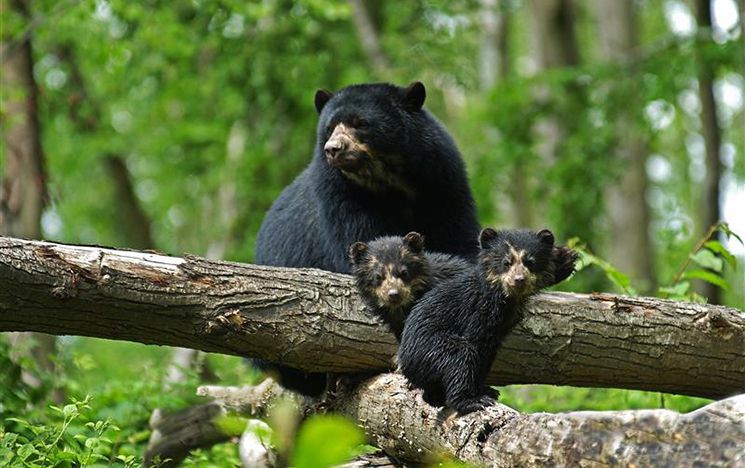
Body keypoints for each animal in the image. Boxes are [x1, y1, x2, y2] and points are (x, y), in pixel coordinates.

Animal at [252, 81, 481, 397]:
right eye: (329, 128)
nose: (333, 149)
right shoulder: (341, 198)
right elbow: (363, 249)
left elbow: (458, 238)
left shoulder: (443, 181)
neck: (390, 182)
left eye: (360, 123)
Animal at [397, 228, 578, 415]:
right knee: (460, 355)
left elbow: (489, 354)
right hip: (429, 348)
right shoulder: (480, 311)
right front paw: (478, 394)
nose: (519, 280)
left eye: (530, 262)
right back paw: (470, 401)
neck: (506, 298)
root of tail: (405, 363)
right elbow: (476, 343)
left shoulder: (504, 325)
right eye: (506, 262)